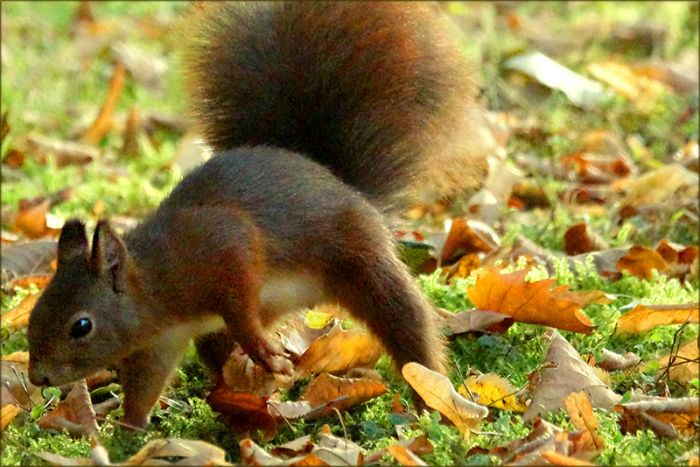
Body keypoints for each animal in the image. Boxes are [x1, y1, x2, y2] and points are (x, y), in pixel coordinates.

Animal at [28, 2, 489, 428]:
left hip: (361, 261)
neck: (156, 286)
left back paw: (427, 404)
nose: (37, 378)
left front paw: (261, 349)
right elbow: (145, 385)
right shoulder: (158, 344)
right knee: (215, 347)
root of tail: (343, 183)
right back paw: (238, 401)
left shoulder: (220, 244)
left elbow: (238, 291)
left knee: (406, 323)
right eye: (36, 310)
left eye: (81, 326)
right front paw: (127, 432)